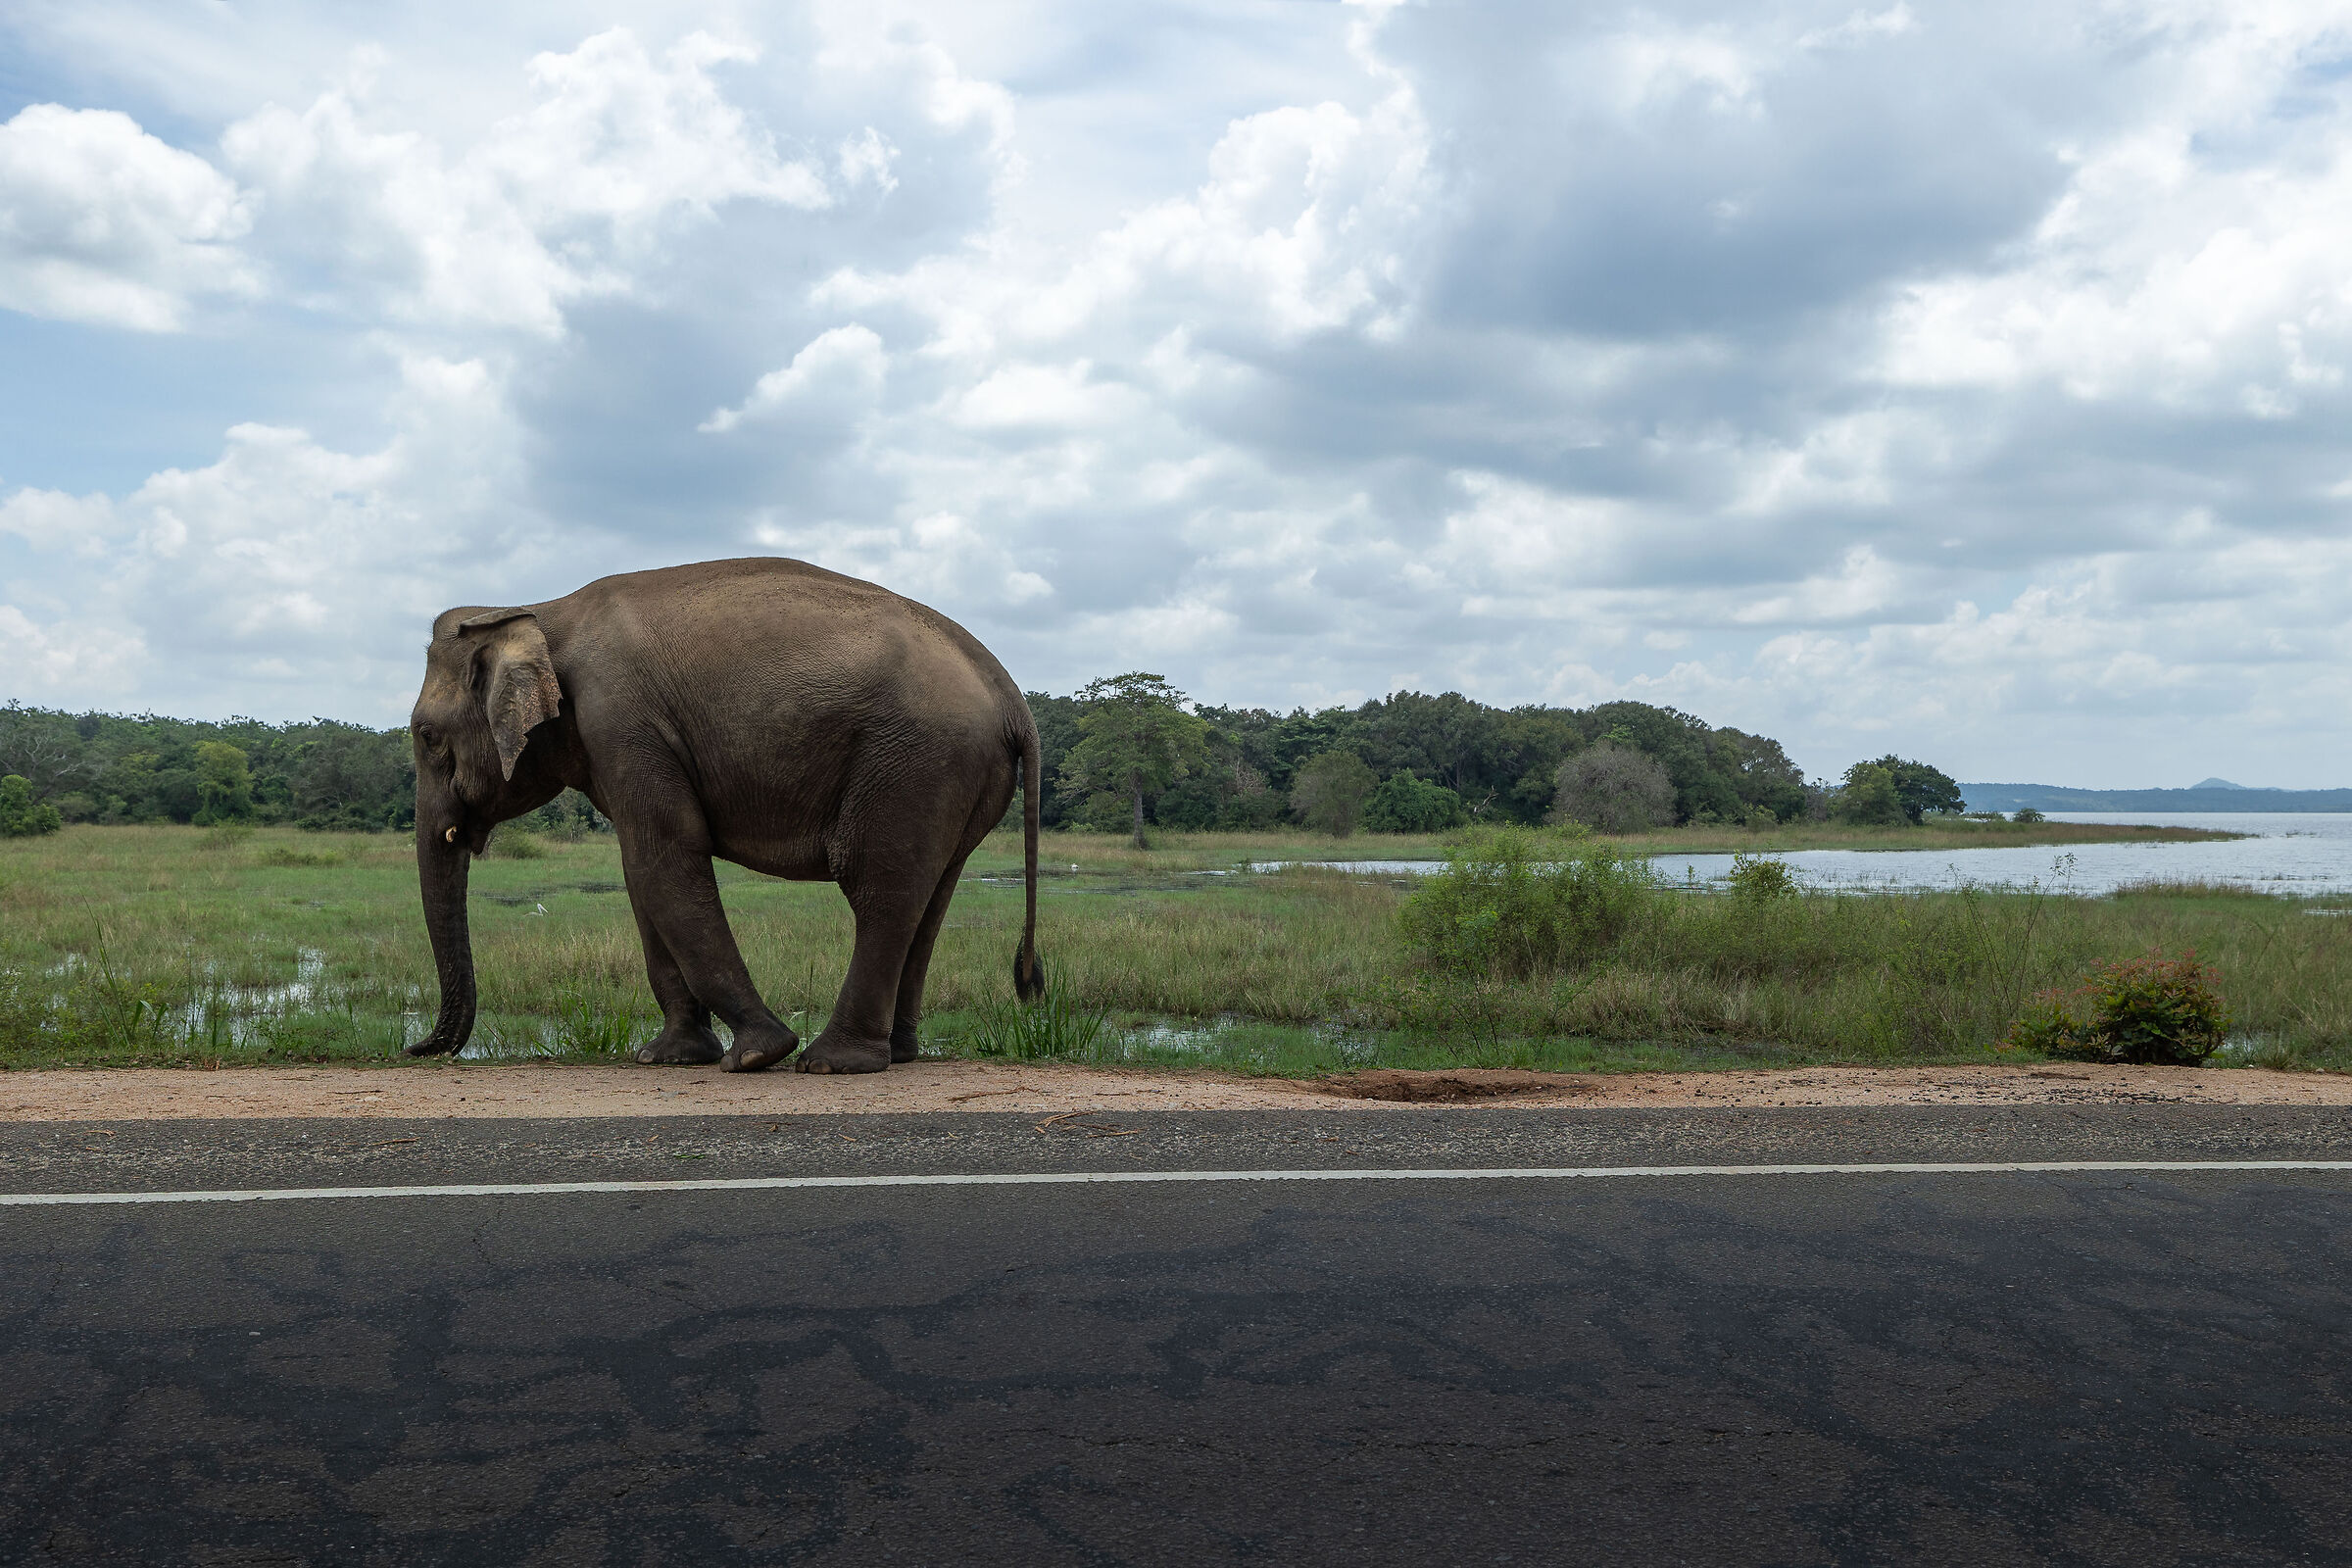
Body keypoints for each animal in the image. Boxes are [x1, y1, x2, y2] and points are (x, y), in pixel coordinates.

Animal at [403, 557, 1043, 1074]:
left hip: (914, 762)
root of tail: (1012, 698)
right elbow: (642, 876)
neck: (541, 610)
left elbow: (665, 857)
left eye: (426, 735)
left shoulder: (622, 722)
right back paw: (899, 1054)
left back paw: (829, 1063)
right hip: (954, 777)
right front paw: (669, 1057)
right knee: (931, 897)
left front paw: (757, 1054)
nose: (416, 1049)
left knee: (880, 890)